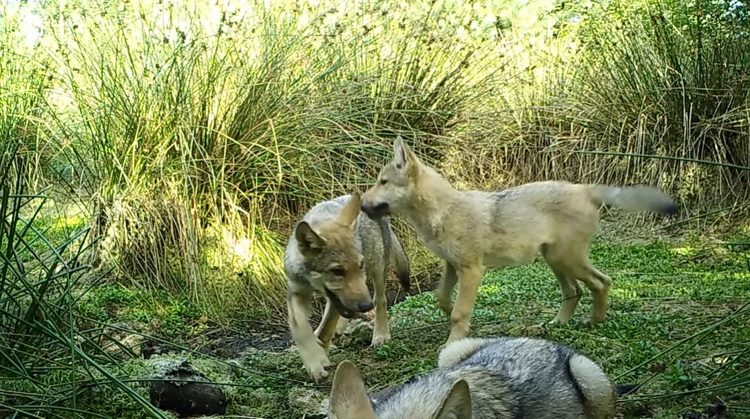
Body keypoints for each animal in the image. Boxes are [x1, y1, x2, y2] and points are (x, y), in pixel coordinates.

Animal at [284, 194, 412, 380]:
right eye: (337, 271)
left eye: (360, 265)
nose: (365, 306)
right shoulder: (296, 291)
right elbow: (300, 329)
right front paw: (314, 361)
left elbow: (326, 331)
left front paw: (320, 358)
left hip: (377, 270)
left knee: (380, 300)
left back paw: (380, 335)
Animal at [362, 136, 680, 346]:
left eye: (383, 182)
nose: (361, 203)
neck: (444, 211)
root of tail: (584, 188)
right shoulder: (452, 267)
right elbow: (443, 300)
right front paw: (459, 323)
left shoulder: (472, 270)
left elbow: (459, 312)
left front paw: (453, 343)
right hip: (555, 260)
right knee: (574, 291)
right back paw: (558, 325)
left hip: (567, 260)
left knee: (602, 282)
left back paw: (594, 322)